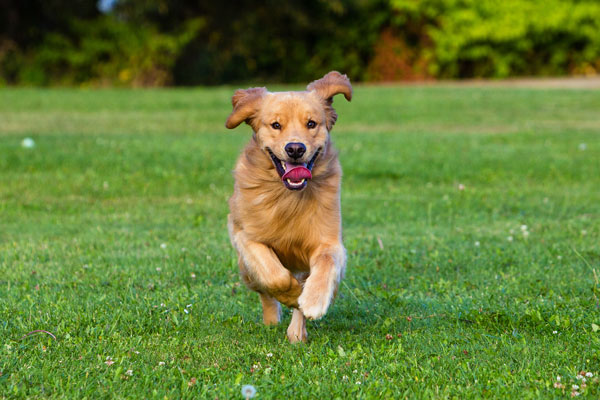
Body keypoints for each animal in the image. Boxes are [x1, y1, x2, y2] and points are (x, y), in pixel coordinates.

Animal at [225, 70, 352, 342]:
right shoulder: (245, 236)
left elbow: (325, 263)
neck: (289, 197)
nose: (295, 148)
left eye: (312, 124)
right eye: (276, 125)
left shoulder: (329, 241)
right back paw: (273, 318)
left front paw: (312, 300)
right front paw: (293, 296)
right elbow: (275, 277)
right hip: (245, 270)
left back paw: (297, 332)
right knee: (263, 290)